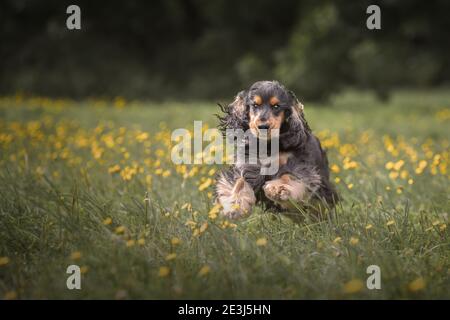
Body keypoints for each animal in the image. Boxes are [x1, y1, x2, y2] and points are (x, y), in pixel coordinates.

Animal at [215, 80, 338, 220]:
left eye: (276, 106)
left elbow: (289, 176)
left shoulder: (299, 166)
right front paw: (235, 205)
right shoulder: (249, 164)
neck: (268, 145)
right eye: (255, 105)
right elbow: (240, 180)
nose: (263, 126)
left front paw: (277, 188)